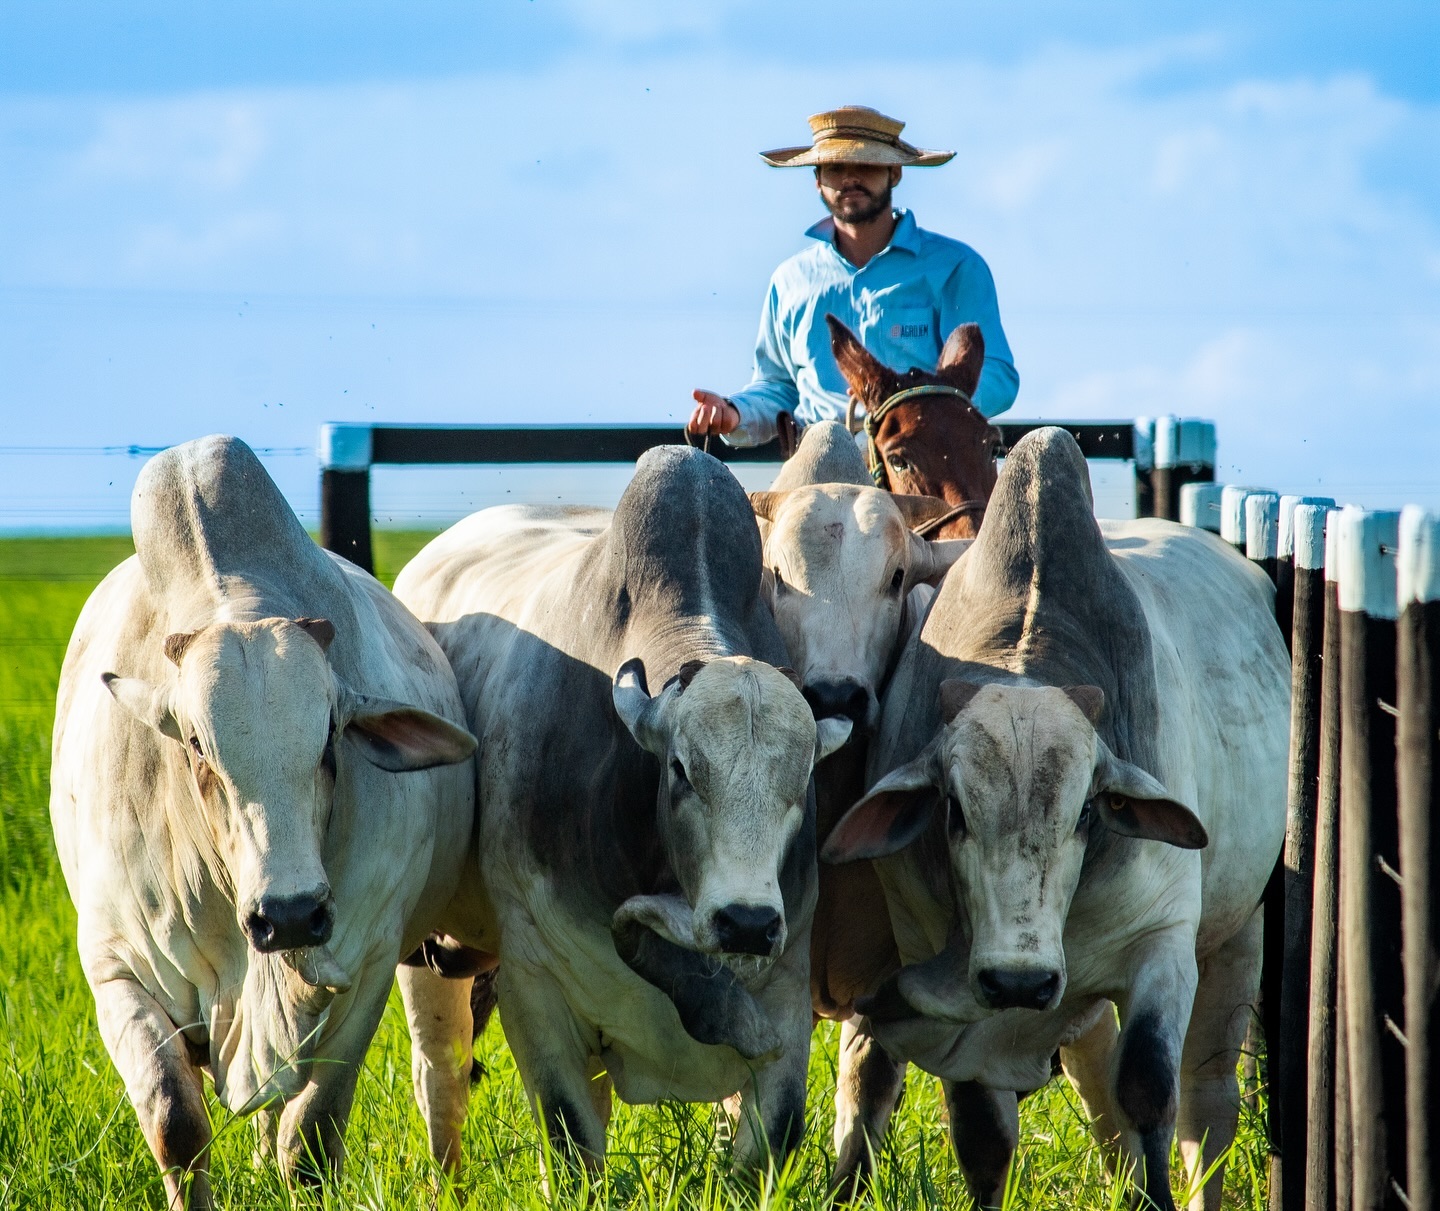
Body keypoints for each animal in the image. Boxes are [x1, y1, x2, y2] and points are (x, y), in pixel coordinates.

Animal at [49, 437, 478, 1209]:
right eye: (197, 748)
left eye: (330, 738)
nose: (291, 915)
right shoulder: (116, 966)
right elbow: (176, 1124)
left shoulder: (366, 964)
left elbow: (307, 1139)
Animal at [823, 429, 1296, 1209]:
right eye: (954, 811)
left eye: (1086, 812)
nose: (1021, 982)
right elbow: (982, 1133)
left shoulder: (1164, 942)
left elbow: (1147, 1091)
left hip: (1236, 937)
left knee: (1207, 1104)